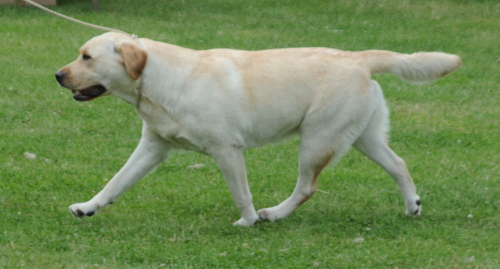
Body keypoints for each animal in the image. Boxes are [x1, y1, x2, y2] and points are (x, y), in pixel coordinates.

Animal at [54, 32, 460, 225]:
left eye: (86, 57)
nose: (57, 75)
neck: (160, 79)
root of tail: (359, 58)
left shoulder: (226, 151)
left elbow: (241, 194)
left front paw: (247, 221)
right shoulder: (151, 148)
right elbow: (115, 183)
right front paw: (88, 208)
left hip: (317, 141)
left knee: (307, 187)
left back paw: (274, 214)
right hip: (362, 137)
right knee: (399, 164)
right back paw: (412, 207)